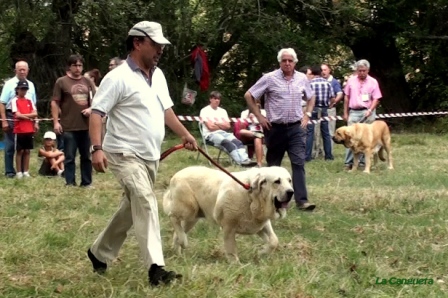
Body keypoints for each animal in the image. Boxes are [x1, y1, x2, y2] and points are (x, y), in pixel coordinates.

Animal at [162, 166, 294, 262]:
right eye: (277, 181)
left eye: (289, 180)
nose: (291, 192)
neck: (252, 197)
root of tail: (176, 175)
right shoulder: (229, 227)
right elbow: (231, 249)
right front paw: (236, 265)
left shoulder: (261, 224)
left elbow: (274, 241)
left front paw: (261, 252)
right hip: (189, 208)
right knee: (172, 217)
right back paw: (183, 241)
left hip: (192, 218)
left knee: (178, 231)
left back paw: (179, 250)